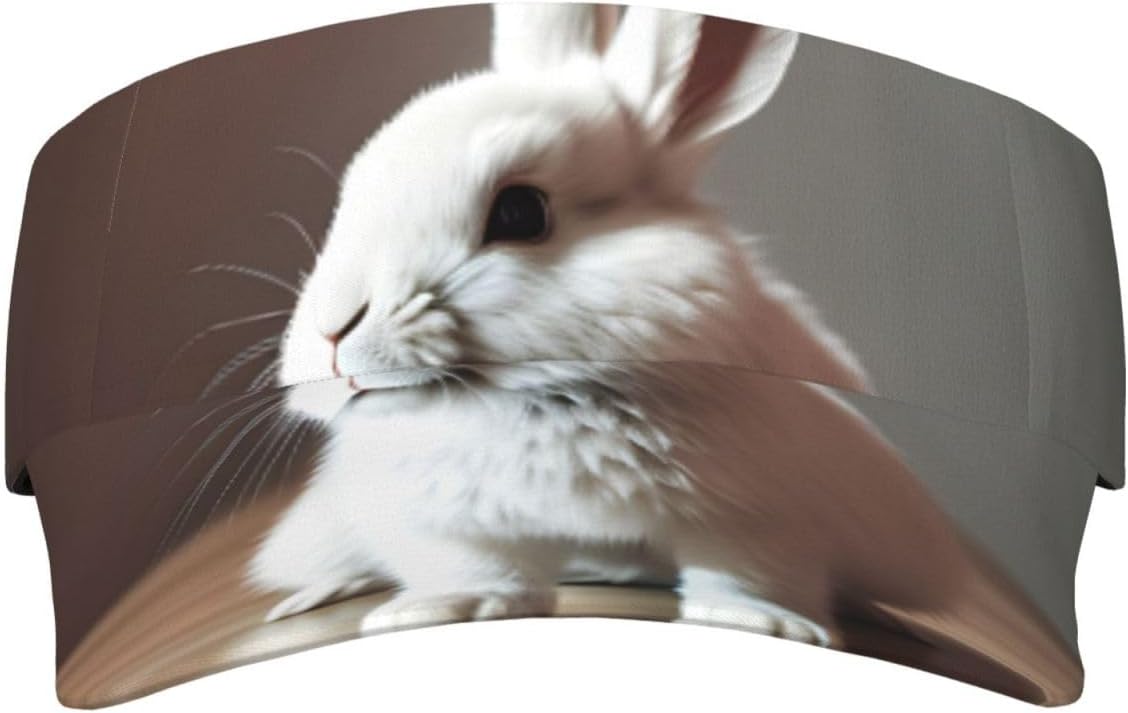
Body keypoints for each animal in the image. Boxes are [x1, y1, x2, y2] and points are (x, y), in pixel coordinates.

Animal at [246, 6, 1084, 695]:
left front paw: (758, 624)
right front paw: (433, 609)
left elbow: (748, 577)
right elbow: (483, 571)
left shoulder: (763, 518)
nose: (332, 334)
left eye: (520, 212)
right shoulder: (447, 523)